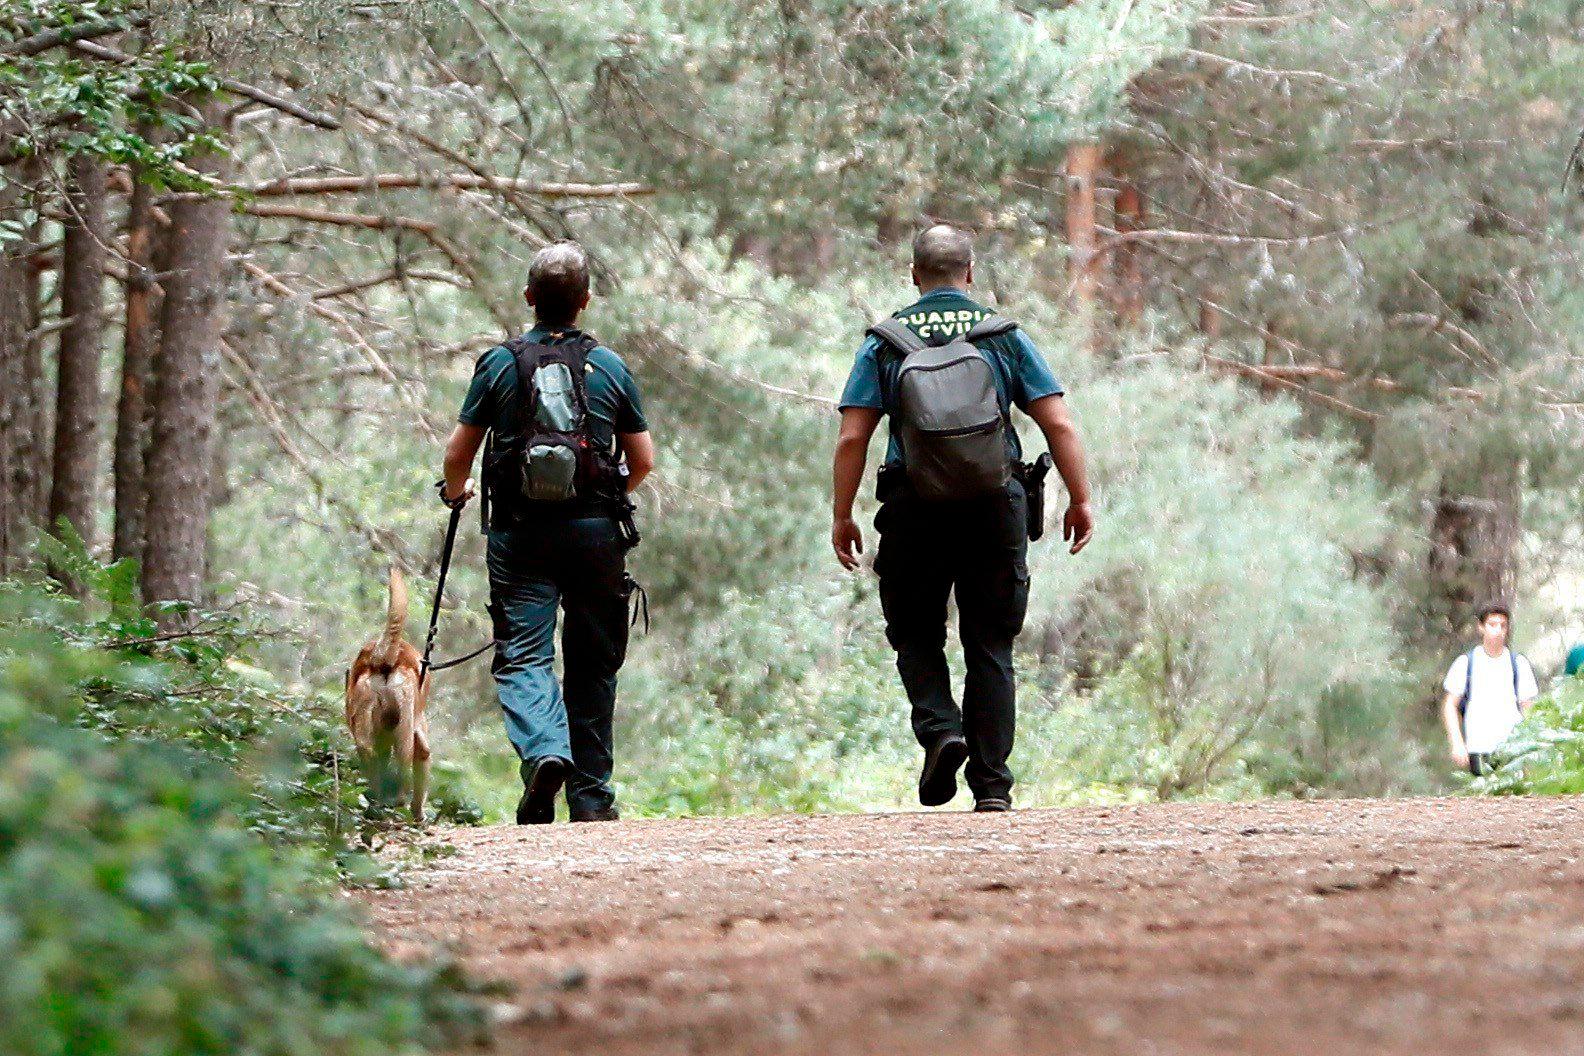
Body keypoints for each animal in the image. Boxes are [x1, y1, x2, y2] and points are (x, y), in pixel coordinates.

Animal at [345, 569, 434, 823]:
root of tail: (382, 656)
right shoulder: (420, 738)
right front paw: (419, 815)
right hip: (403, 729)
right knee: (404, 762)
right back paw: (398, 801)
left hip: (367, 734)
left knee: (373, 758)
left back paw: (379, 804)